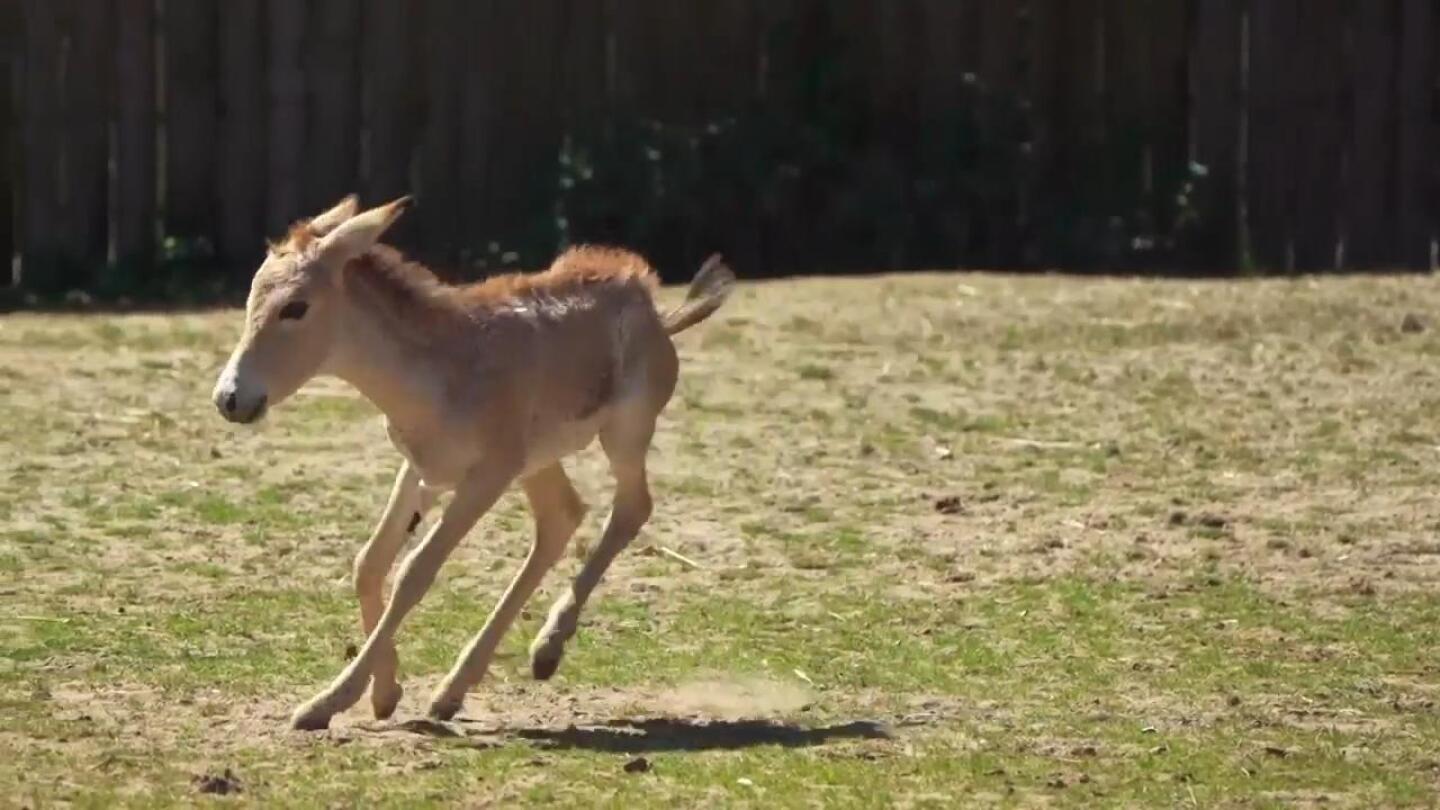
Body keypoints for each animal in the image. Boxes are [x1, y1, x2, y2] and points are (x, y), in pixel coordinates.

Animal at [210, 196, 737, 726]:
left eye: (295, 307)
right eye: (252, 297)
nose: (230, 399)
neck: (441, 369)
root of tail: (649, 303)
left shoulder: (485, 478)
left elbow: (414, 573)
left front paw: (327, 703)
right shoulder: (421, 471)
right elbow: (369, 564)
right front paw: (384, 692)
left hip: (623, 434)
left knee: (630, 509)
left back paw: (544, 649)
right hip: (538, 463)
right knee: (561, 518)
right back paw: (462, 687)